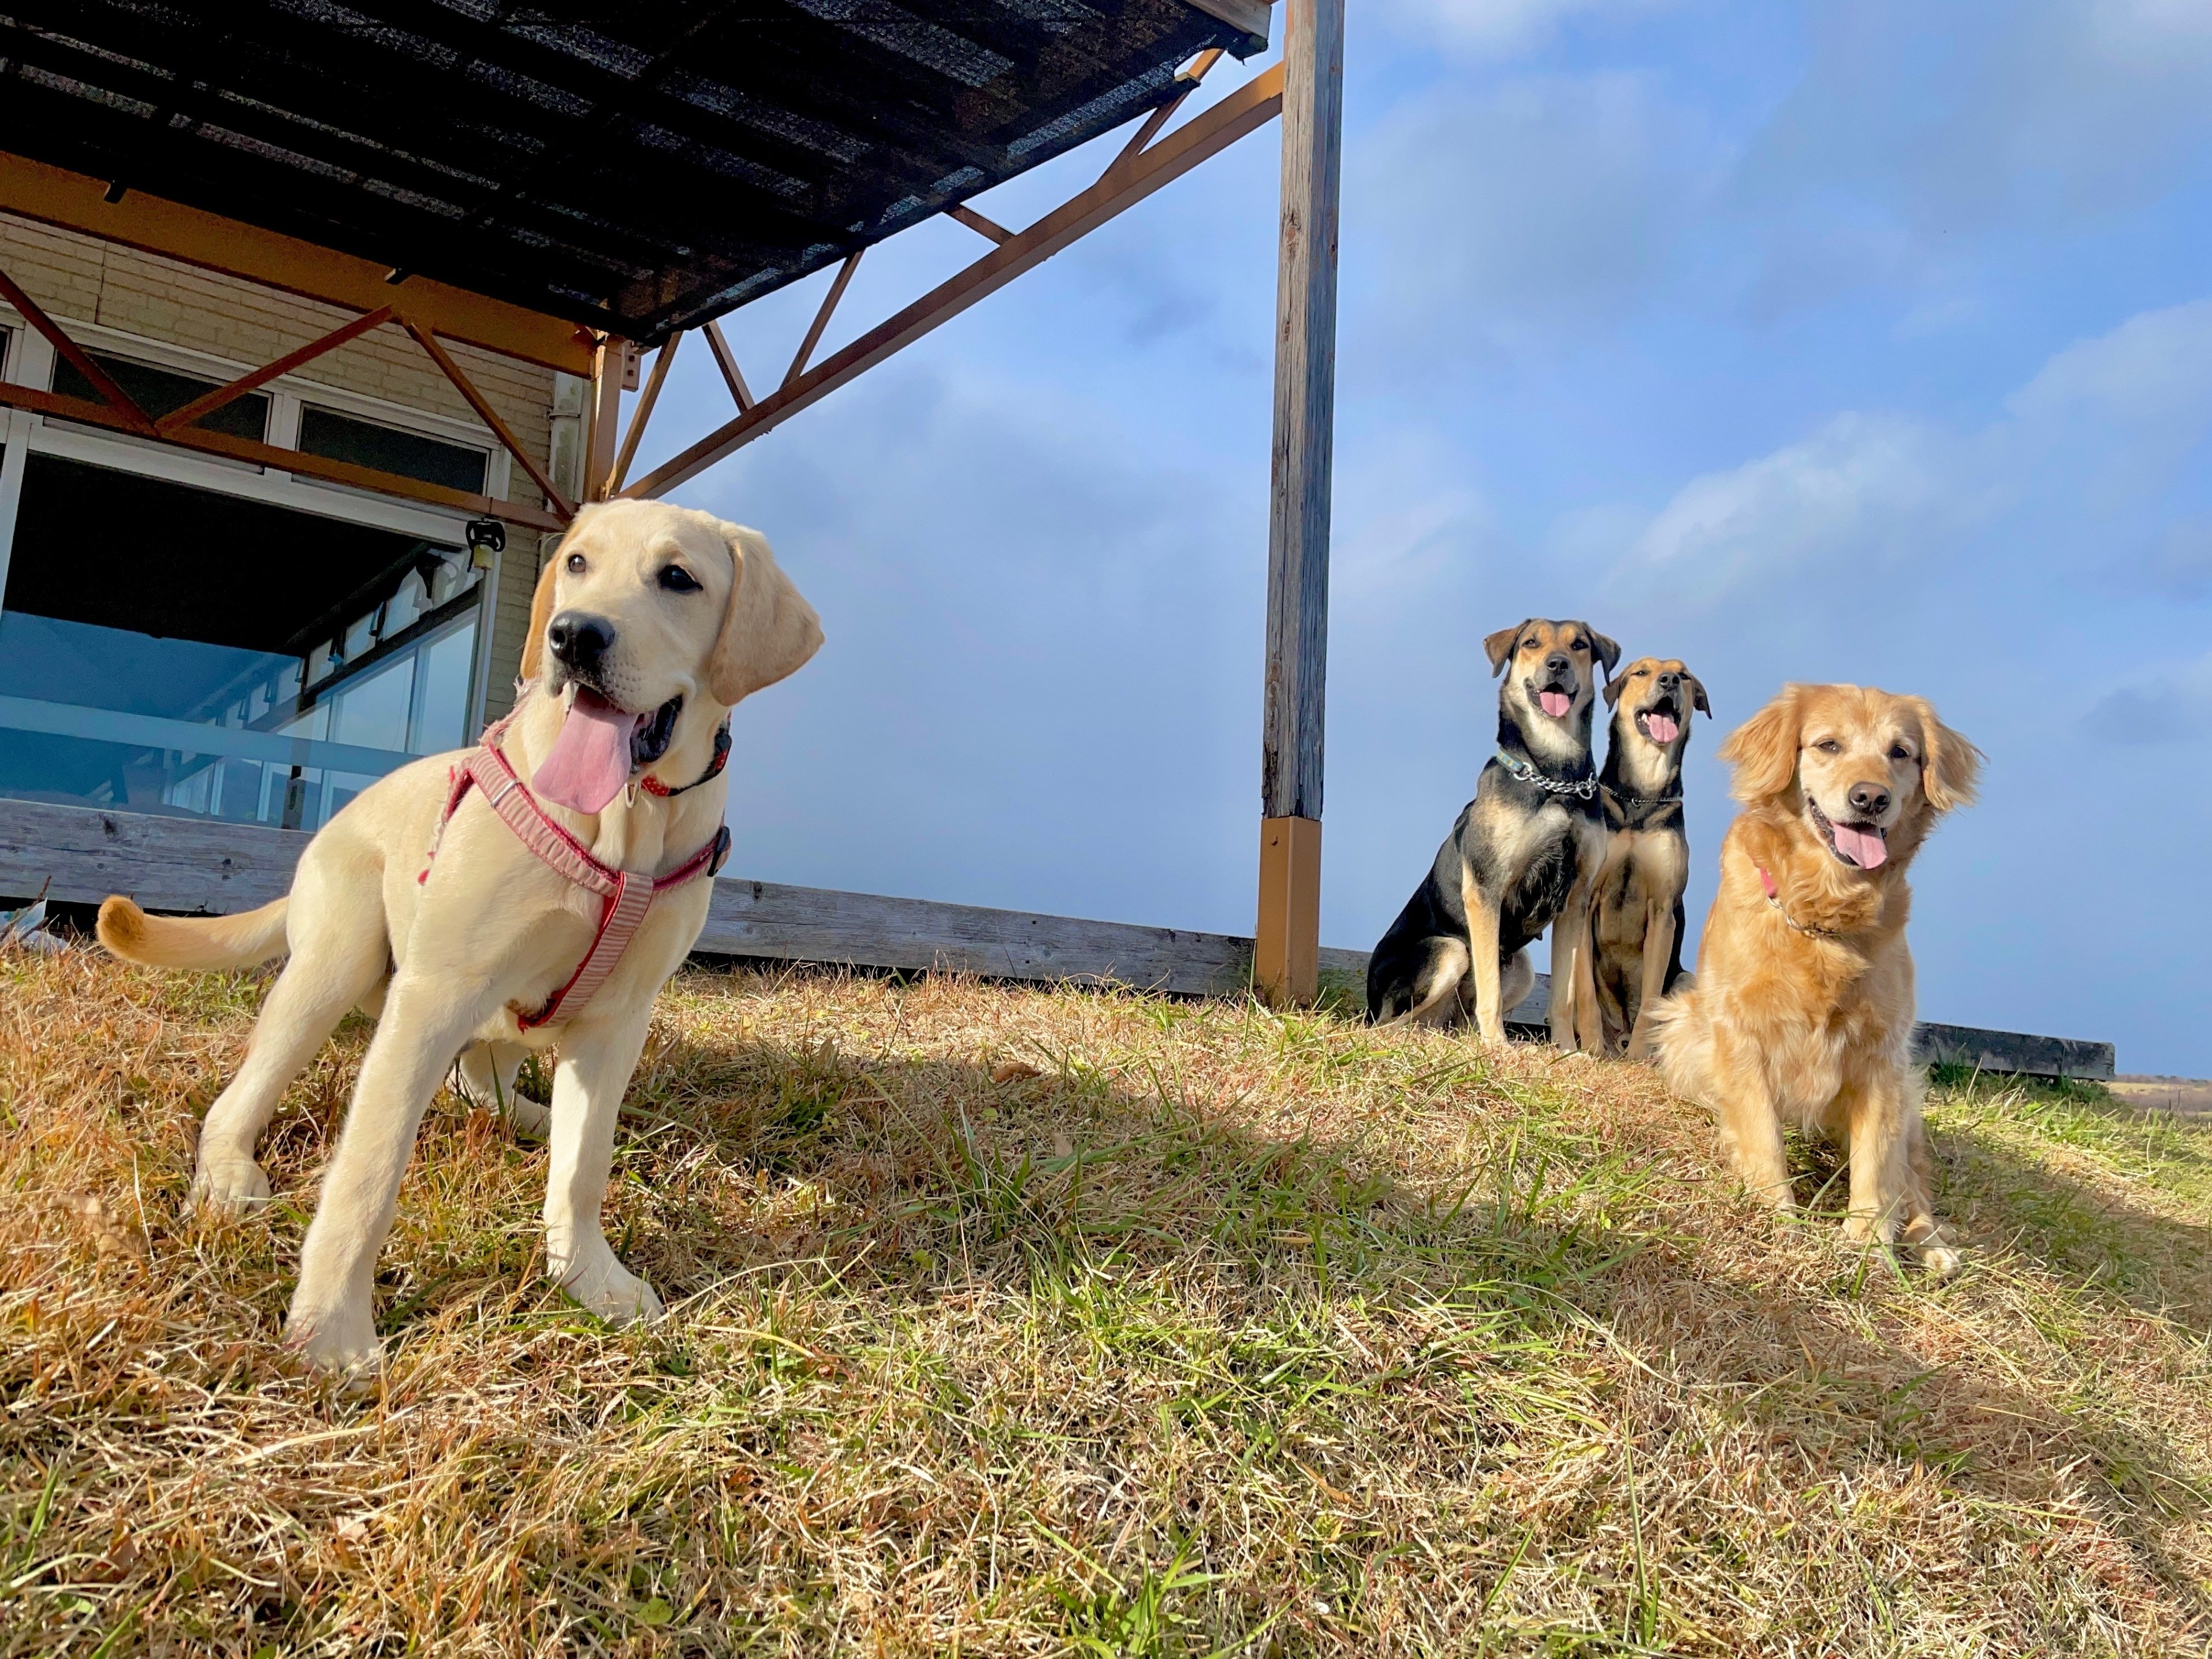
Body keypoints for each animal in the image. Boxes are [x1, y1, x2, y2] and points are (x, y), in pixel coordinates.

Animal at [97, 497, 822, 1380]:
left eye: (678, 578)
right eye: (577, 563)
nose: (573, 637)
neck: (626, 823)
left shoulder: (619, 1019)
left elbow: (583, 1168)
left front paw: (590, 1279)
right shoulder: (431, 996)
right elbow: (368, 1173)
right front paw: (332, 1329)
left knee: (484, 1084)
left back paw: (534, 1116)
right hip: (338, 960)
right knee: (244, 1093)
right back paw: (232, 1169)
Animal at [1362, 619, 1628, 1044]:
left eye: (1580, 645)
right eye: (1531, 643)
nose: (1557, 665)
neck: (1554, 779)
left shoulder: (1576, 900)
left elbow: (1565, 995)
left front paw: (1567, 1050)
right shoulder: (1486, 890)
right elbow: (1489, 987)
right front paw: (1498, 1045)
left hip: (1522, 967)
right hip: (1449, 951)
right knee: (1389, 1026)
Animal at [1592, 654, 1707, 1057]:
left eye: (1685, 676)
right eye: (1641, 672)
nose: (1670, 680)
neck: (1640, 796)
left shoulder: (1662, 910)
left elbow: (1650, 1001)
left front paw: (1640, 1056)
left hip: (1686, 980)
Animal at [1654, 681, 1982, 1265]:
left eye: (1902, 753)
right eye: (1828, 745)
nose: (1870, 798)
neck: (1823, 914)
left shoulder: (1883, 1055)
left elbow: (1878, 1163)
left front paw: (1868, 1240)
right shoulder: (1738, 1034)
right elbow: (1762, 1133)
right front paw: (1778, 1219)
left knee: (1912, 1183)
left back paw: (1931, 1244)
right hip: (1681, 1031)